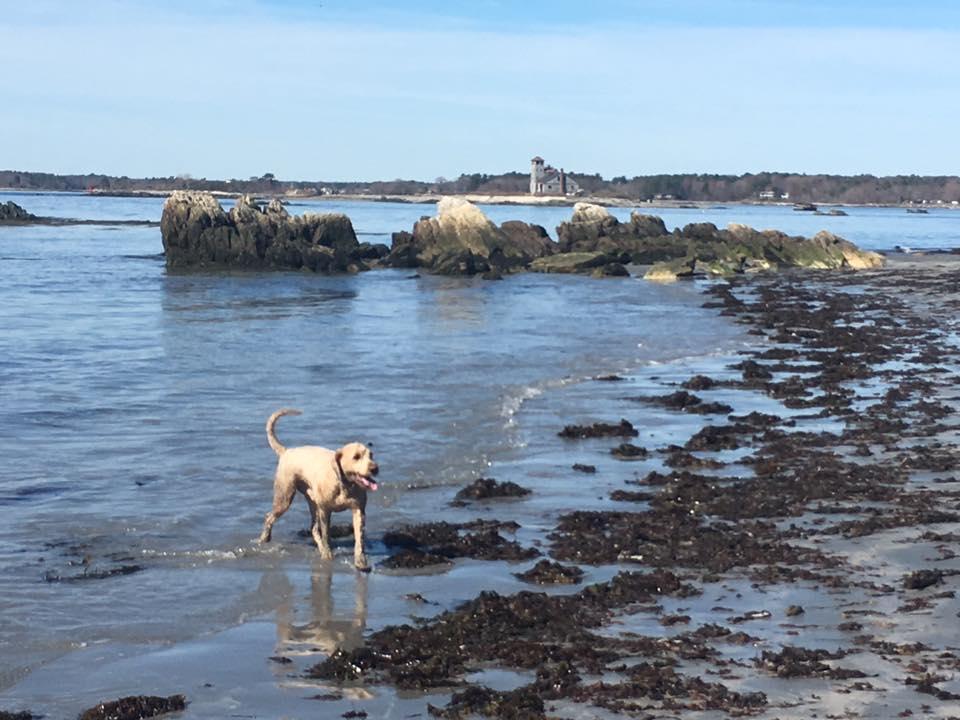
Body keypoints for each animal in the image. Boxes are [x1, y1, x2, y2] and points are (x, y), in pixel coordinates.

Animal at [258, 410, 378, 568]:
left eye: (371, 455)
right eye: (356, 457)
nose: (375, 468)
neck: (343, 484)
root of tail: (286, 451)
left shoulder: (359, 510)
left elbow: (359, 539)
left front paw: (360, 561)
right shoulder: (324, 511)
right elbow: (326, 534)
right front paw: (327, 555)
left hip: (312, 502)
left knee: (313, 528)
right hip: (285, 496)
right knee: (269, 516)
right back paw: (264, 539)